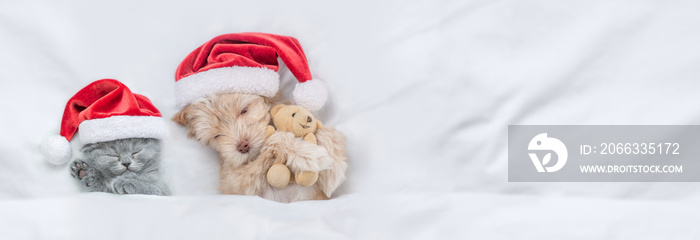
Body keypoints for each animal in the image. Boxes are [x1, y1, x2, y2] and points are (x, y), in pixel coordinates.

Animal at [172, 93, 348, 202]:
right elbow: (275, 141)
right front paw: (308, 154)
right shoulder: (238, 184)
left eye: (244, 110)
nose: (242, 146)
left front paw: (334, 169)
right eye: (216, 136)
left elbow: (331, 132)